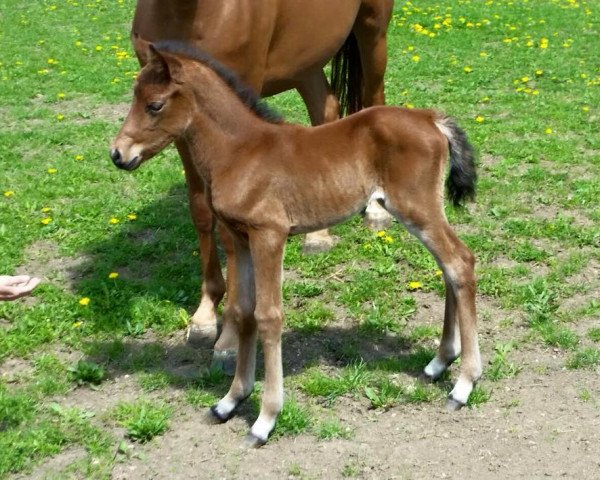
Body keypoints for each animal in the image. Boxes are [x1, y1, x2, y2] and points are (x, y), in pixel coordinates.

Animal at [110, 43, 480, 448]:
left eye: (155, 104)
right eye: (134, 96)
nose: (118, 154)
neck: (239, 151)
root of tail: (431, 118)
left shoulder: (269, 234)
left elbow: (269, 316)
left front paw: (265, 419)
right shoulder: (240, 238)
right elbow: (243, 312)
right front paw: (229, 401)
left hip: (417, 208)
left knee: (460, 262)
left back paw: (463, 385)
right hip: (421, 213)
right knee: (449, 269)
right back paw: (439, 362)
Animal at [130, 0, 394, 368]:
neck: (189, 13)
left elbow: (230, 236)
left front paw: (229, 336)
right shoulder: (181, 123)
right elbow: (201, 210)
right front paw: (205, 314)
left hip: (373, 31)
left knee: (374, 98)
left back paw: (375, 211)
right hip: (307, 60)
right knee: (325, 108)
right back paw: (318, 234)